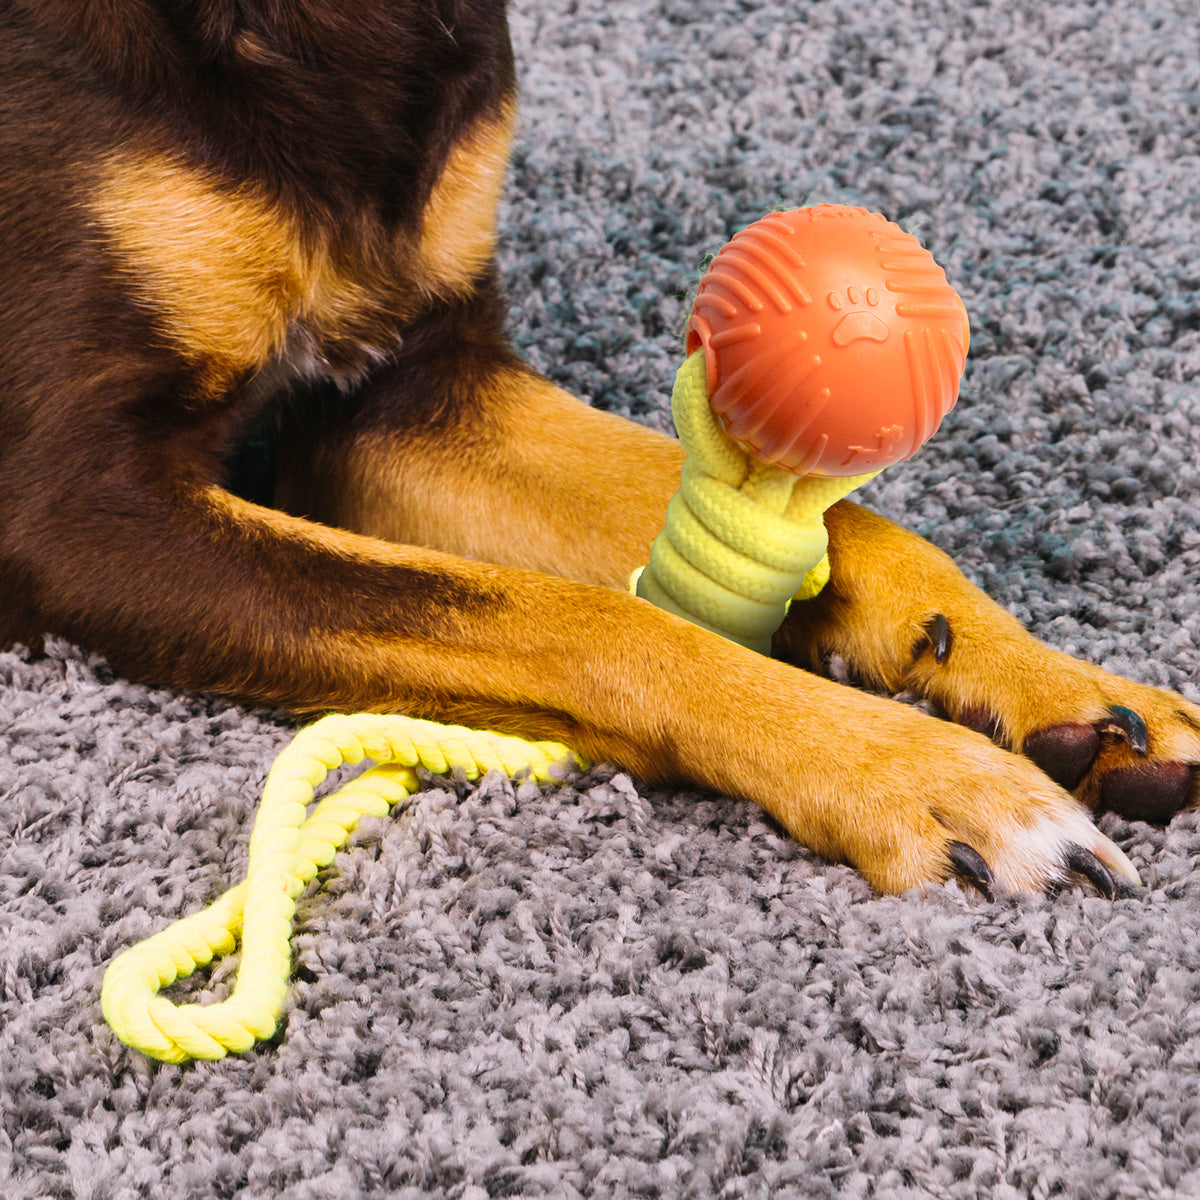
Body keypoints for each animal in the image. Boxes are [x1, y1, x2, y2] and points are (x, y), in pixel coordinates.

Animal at [2, 0, 1190, 897]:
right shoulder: (80, 510)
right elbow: (592, 616)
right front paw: (923, 773)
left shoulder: (412, 395)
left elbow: (855, 523)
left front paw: (1056, 684)